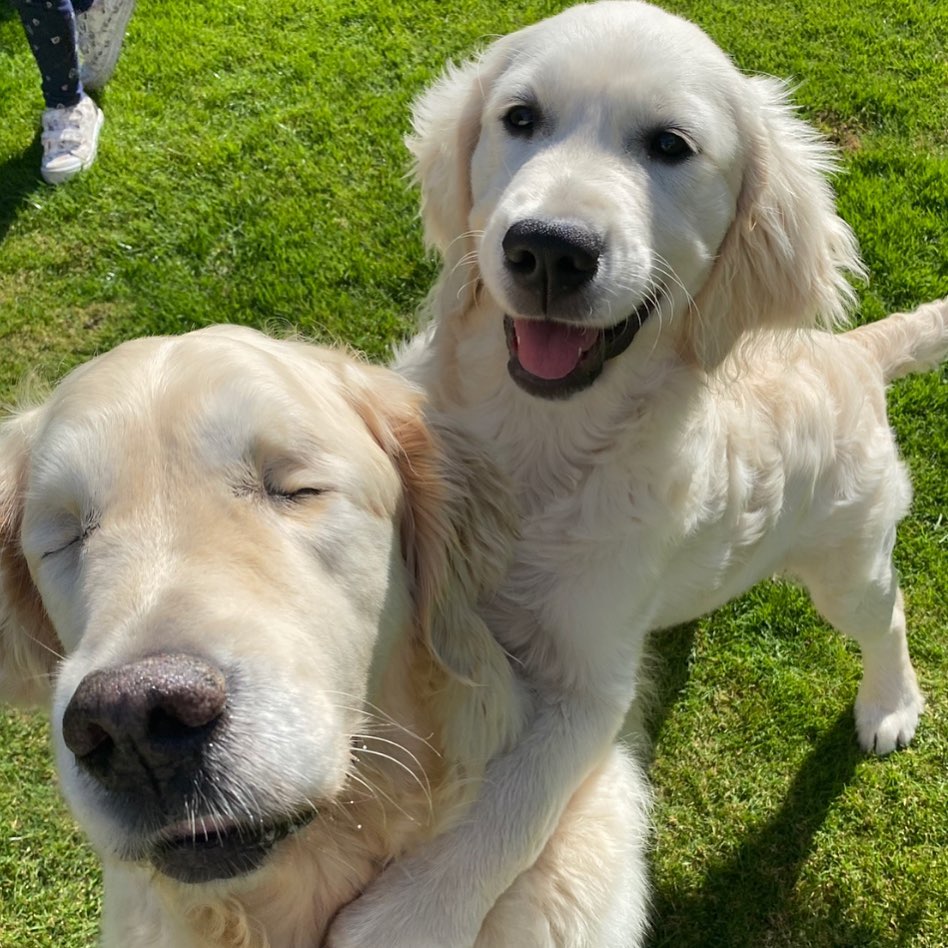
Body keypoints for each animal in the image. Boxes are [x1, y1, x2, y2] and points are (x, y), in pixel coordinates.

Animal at [328, 1, 948, 948]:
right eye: (520, 119)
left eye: (670, 145)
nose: (549, 249)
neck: (539, 442)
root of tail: (852, 352)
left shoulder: (591, 687)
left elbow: (514, 808)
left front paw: (407, 920)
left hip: (849, 554)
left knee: (889, 615)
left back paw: (890, 705)